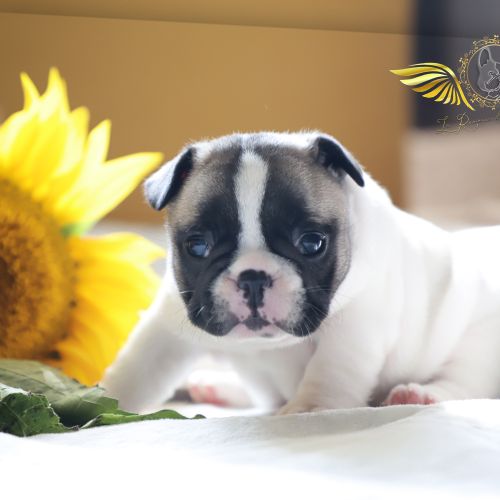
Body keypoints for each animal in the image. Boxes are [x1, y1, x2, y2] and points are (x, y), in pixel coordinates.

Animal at [100, 131, 500, 414]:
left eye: (311, 243)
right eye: (198, 246)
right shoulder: (166, 329)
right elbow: (137, 370)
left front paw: (309, 409)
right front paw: (103, 400)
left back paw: (418, 395)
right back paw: (216, 388)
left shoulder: (355, 327)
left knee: (465, 382)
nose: (253, 277)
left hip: (476, 343)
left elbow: (330, 370)